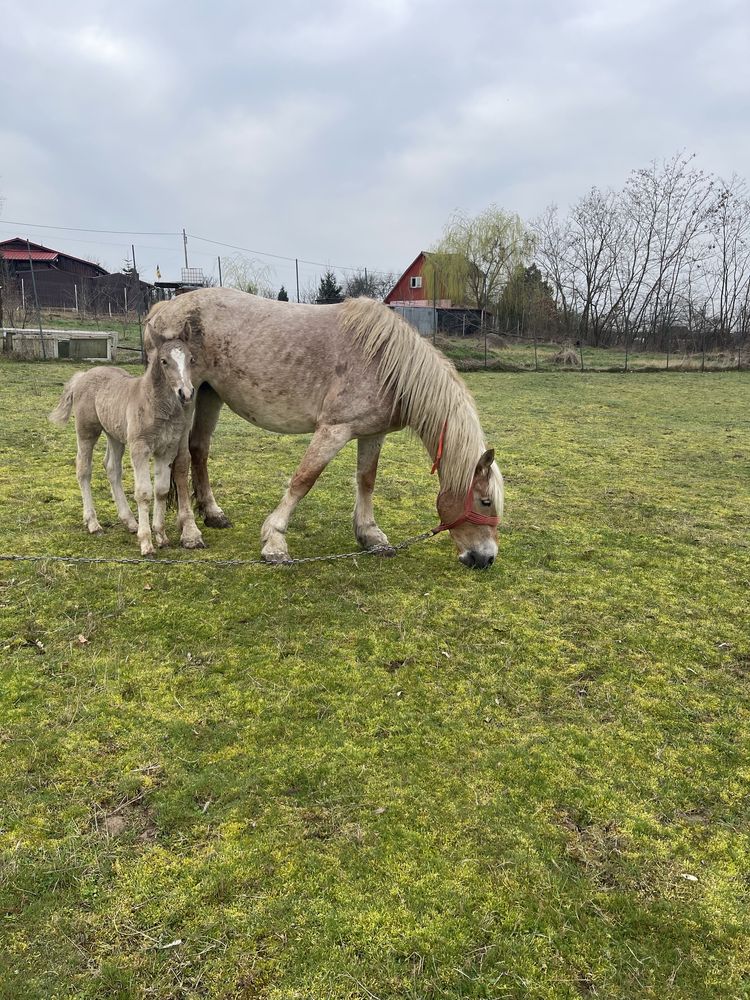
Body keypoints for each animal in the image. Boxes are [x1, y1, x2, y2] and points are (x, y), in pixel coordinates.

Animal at [49, 336, 203, 556]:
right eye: (164, 361)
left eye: (191, 359)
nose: (187, 393)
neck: (155, 405)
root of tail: (83, 375)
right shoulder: (140, 448)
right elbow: (144, 493)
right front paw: (146, 543)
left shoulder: (166, 450)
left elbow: (161, 490)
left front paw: (161, 536)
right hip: (87, 431)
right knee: (83, 469)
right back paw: (93, 524)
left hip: (115, 435)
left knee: (112, 468)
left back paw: (130, 521)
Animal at [145, 292, 506, 572]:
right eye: (485, 501)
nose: (486, 559)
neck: (386, 363)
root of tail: (163, 308)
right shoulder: (334, 430)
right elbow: (303, 480)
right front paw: (274, 542)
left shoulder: (372, 433)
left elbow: (366, 480)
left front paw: (371, 536)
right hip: (186, 399)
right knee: (180, 462)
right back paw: (191, 532)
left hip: (209, 395)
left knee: (199, 451)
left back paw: (213, 513)